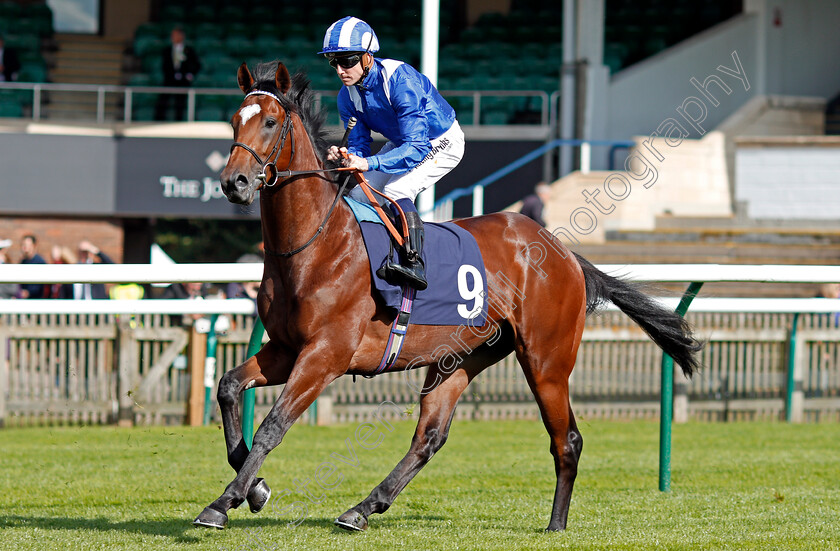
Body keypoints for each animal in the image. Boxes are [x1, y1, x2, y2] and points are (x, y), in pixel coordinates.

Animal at [194, 60, 700, 536]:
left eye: (271, 121)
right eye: (234, 120)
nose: (235, 182)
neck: (314, 245)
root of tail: (564, 252)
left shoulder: (325, 355)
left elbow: (273, 426)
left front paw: (223, 503)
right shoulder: (285, 349)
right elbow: (228, 387)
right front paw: (255, 488)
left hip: (546, 360)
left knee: (567, 439)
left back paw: (556, 524)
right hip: (459, 358)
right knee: (430, 437)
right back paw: (362, 508)